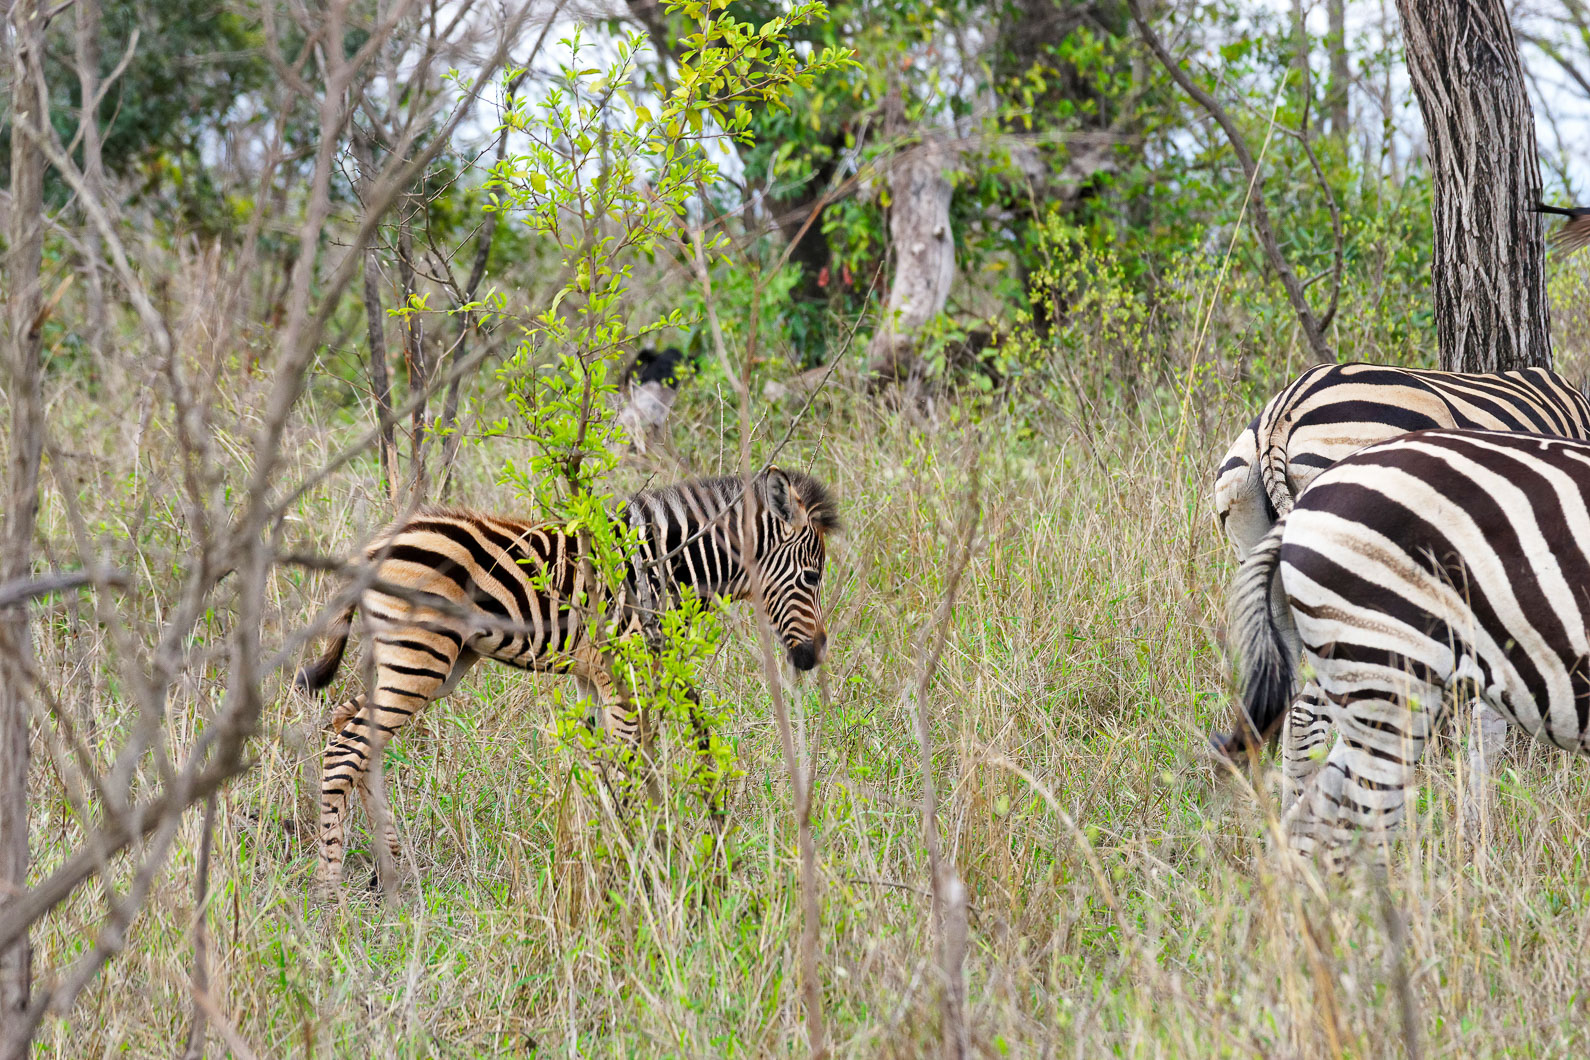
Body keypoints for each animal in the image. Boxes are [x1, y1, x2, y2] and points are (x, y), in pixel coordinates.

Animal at [297, 467, 839, 892]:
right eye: (812, 579)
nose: (812, 656)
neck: (664, 571)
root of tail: (375, 546)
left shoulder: (593, 678)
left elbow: (605, 773)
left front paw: (605, 857)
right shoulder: (624, 677)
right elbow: (627, 771)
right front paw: (633, 862)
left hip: (428, 661)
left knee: (349, 728)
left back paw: (391, 870)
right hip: (419, 656)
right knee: (346, 747)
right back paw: (329, 890)